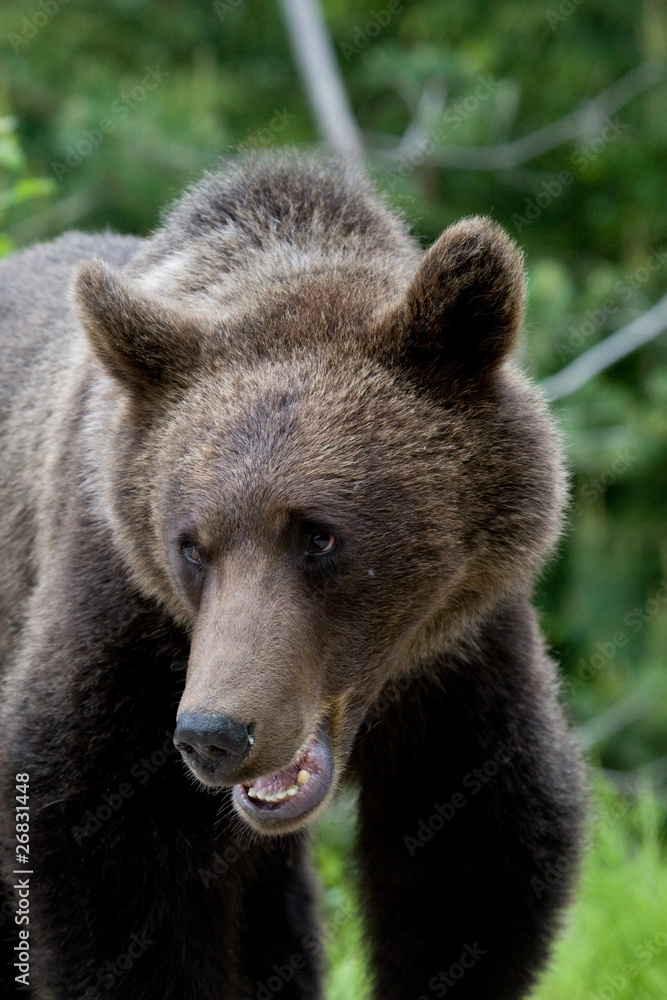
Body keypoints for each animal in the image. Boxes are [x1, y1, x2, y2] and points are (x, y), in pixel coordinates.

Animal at [0, 152, 584, 996]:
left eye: (318, 535)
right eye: (191, 545)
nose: (212, 734)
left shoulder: (461, 647)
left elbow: (472, 852)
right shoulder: (122, 608)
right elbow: (98, 854)